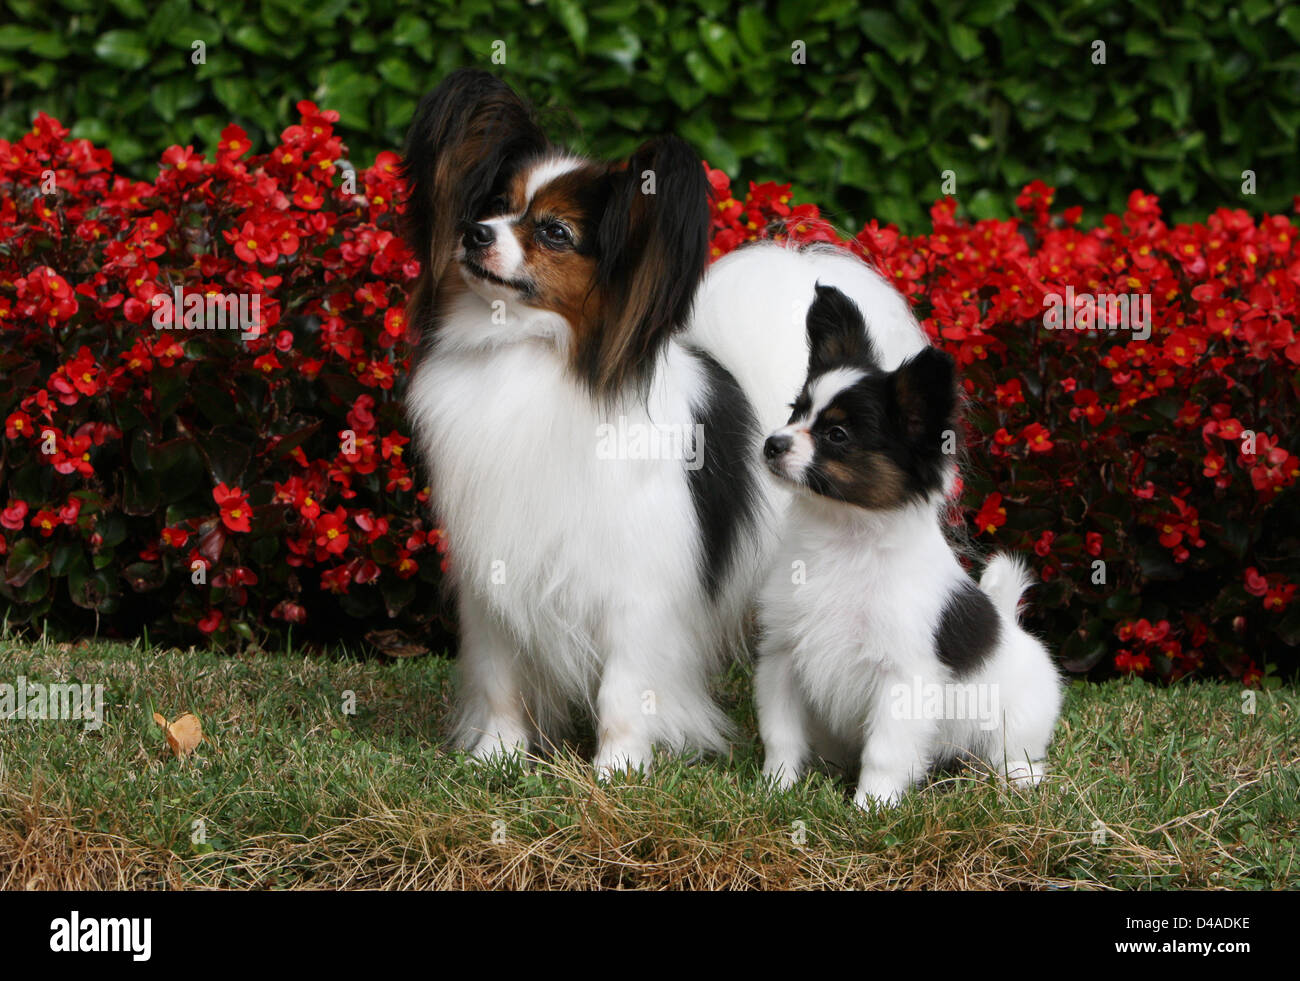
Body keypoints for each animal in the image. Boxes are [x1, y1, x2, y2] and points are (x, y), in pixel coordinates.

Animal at [403, 69, 935, 774]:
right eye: (493, 205)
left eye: (554, 233)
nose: (474, 233)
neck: (534, 354)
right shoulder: (493, 574)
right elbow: (499, 678)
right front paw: (498, 756)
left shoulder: (640, 587)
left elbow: (624, 688)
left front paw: (617, 769)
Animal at [759, 284, 1060, 805]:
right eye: (795, 411)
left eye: (837, 434)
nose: (772, 444)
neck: (844, 535)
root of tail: (1012, 625)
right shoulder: (782, 654)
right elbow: (781, 735)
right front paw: (775, 790)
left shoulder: (902, 677)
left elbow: (885, 752)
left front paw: (870, 808)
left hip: (1015, 717)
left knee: (1014, 753)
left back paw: (1018, 780)